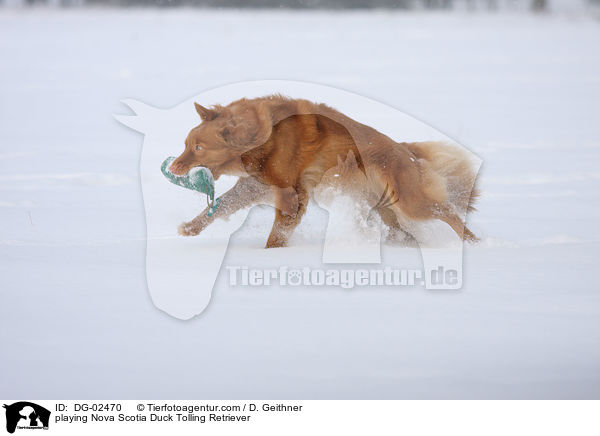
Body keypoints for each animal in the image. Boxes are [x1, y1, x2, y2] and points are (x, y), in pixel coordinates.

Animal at [171, 95, 480, 247]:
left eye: (198, 147)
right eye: (186, 144)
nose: (172, 166)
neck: (265, 137)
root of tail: (405, 150)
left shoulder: (293, 194)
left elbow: (278, 233)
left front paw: (271, 255)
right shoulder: (255, 185)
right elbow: (220, 206)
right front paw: (191, 227)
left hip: (411, 202)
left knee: (448, 211)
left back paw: (476, 243)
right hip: (387, 211)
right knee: (405, 232)